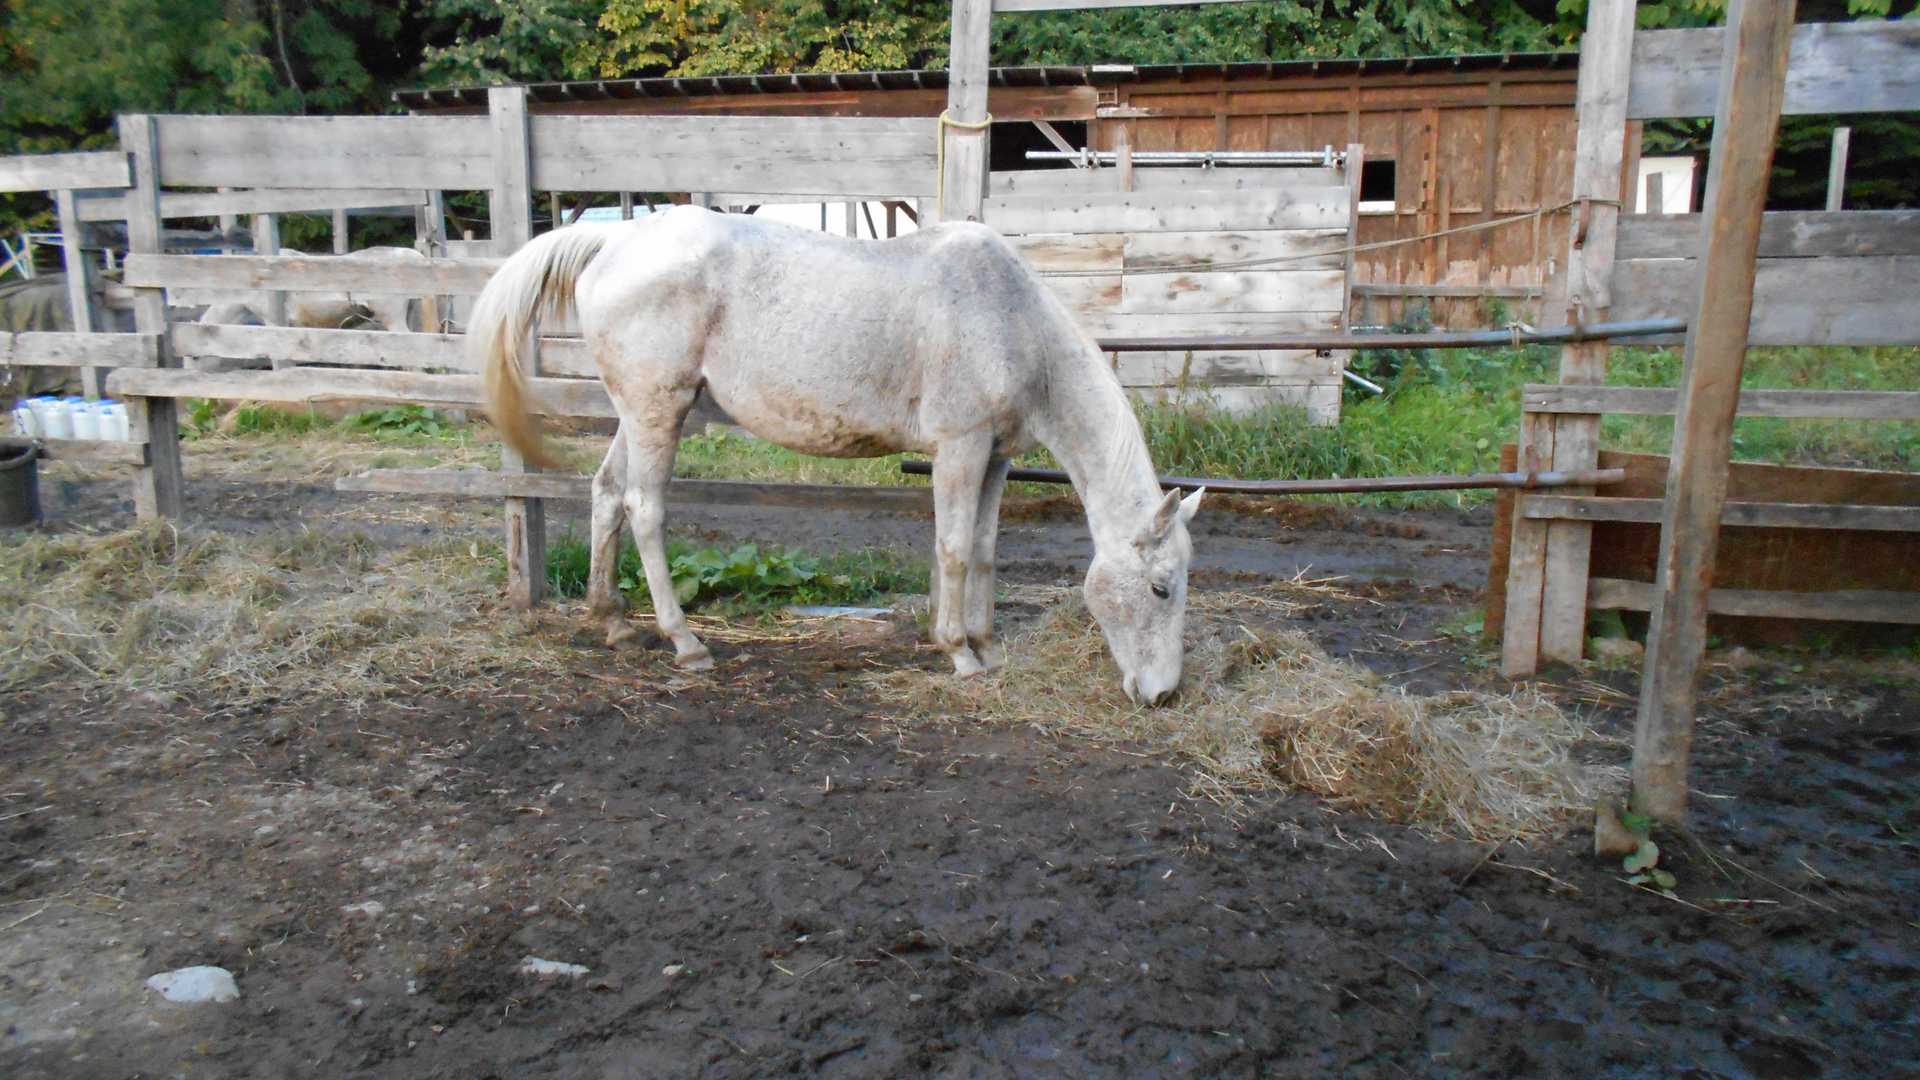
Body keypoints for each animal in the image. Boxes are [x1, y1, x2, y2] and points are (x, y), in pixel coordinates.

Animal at [471, 207, 1203, 705]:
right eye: (1161, 588)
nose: (1163, 694)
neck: (1010, 317)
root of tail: (615, 238)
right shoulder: (960, 447)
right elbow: (954, 549)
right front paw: (958, 652)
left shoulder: (994, 457)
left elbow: (986, 551)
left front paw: (988, 646)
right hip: (659, 412)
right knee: (644, 508)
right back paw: (685, 642)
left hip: (641, 414)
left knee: (604, 492)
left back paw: (613, 623)